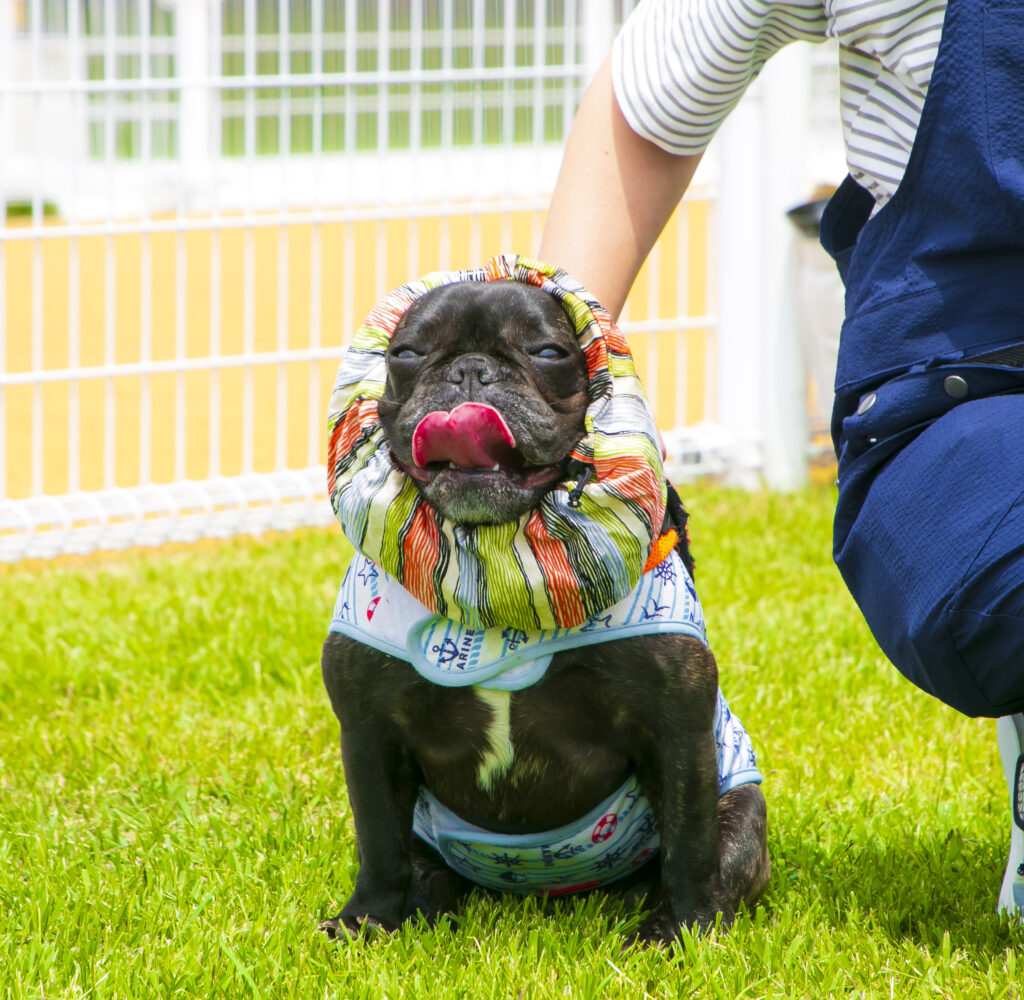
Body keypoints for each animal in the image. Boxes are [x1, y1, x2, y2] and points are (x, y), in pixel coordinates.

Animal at [319, 280, 770, 945]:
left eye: (549, 352)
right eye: (406, 353)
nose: (469, 371)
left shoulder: (678, 730)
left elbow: (690, 842)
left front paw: (682, 930)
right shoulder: (370, 734)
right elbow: (379, 843)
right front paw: (367, 921)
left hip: (741, 806)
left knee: (721, 847)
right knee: (420, 862)